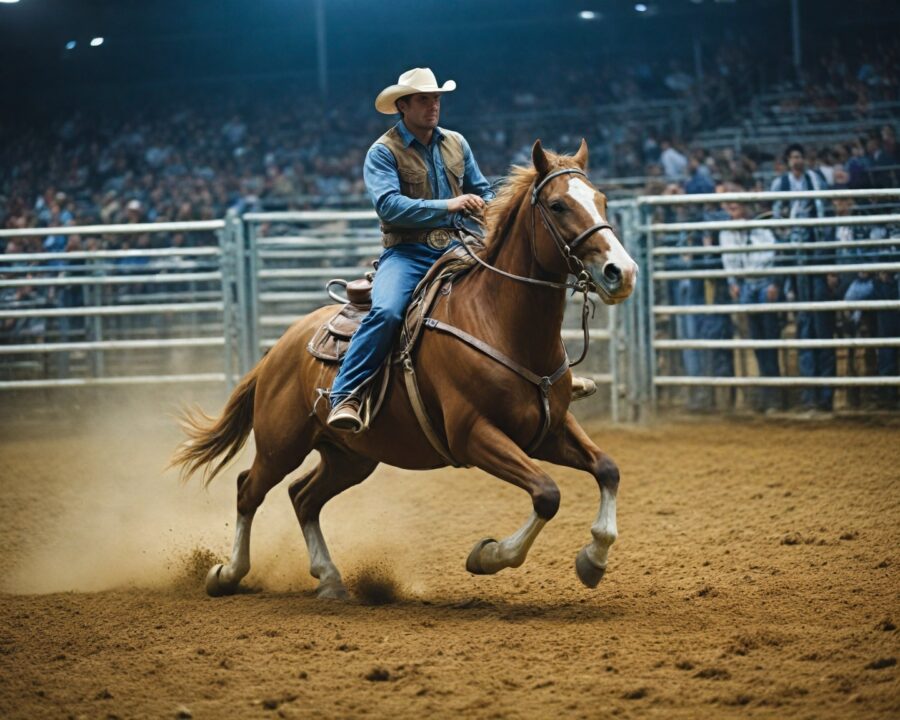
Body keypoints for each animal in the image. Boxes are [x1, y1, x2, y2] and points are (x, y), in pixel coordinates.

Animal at [170, 139, 638, 600]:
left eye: (601, 199)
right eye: (558, 205)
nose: (622, 272)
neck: (499, 321)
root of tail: (276, 350)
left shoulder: (549, 428)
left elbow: (608, 469)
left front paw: (593, 560)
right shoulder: (473, 435)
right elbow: (546, 493)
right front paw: (487, 555)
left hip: (351, 456)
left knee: (303, 497)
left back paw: (330, 578)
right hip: (281, 444)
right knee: (248, 489)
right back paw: (227, 574)